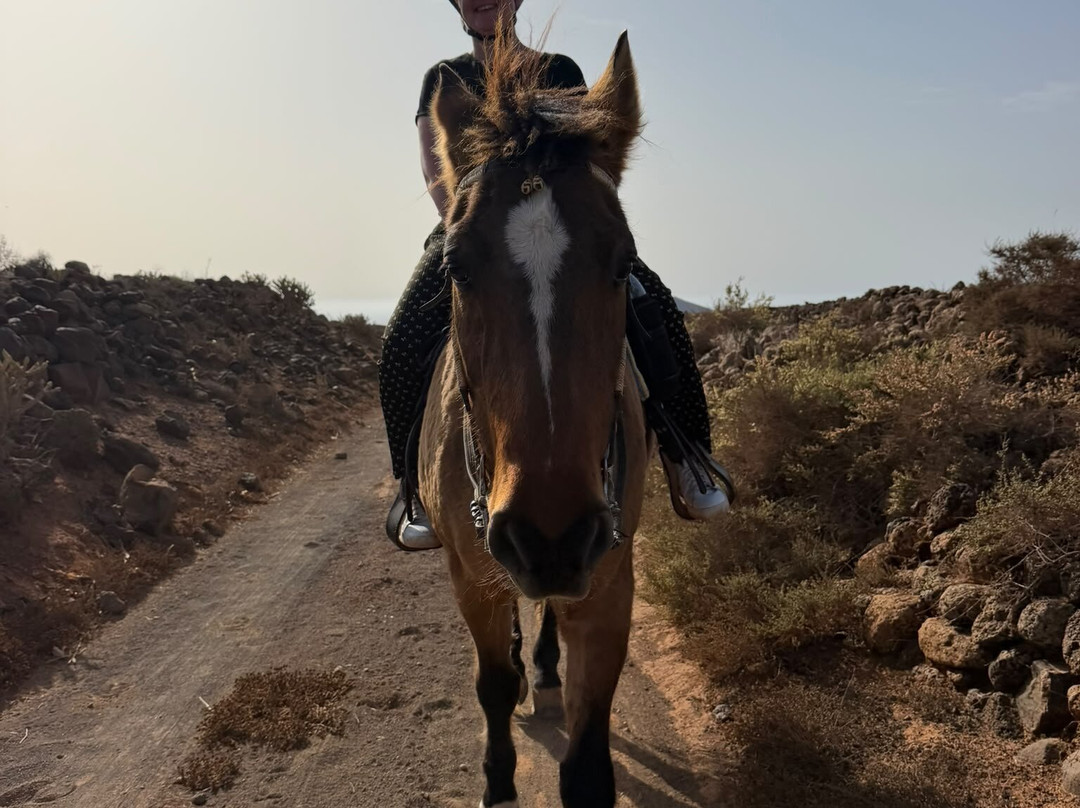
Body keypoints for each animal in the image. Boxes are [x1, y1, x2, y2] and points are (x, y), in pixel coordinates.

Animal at [418, 28, 648, 808]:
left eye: (623, 264)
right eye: (456, 267)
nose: (548, 534)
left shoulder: (608, 581)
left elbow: (588, 765)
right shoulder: (469, 575)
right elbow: (491, 684)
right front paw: (498, 783)